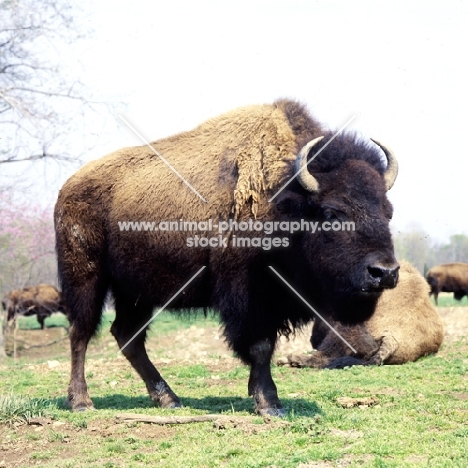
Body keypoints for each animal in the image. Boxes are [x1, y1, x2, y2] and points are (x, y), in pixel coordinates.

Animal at [54, 99, 398, 416]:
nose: (384, 272)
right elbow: (260, 347)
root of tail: (68, 187)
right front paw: (269, 403)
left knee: (127, 337)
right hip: (86, 278)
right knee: (80, 333)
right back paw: (82, 402)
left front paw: (260, 395)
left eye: (388, 211)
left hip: (134, 291)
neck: (285, 197)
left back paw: (169, 399)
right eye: (331, 213)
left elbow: (265, 347)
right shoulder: (249, 297)